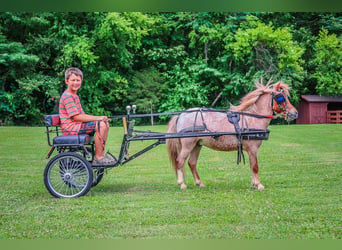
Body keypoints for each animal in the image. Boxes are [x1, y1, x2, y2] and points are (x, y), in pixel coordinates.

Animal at [166, 79, 296, 190]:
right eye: (281, 98)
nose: (295, 113)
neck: (252, 119)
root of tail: (181, 115)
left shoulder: (250, 150)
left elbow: (252, 166)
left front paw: (254, 183)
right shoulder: (253, 148)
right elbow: (255, 166)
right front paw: (258, 185)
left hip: (197, 145)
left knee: (191, 163)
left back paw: (199, 183)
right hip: (188, 145)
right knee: (180, 161)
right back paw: (182, 184)